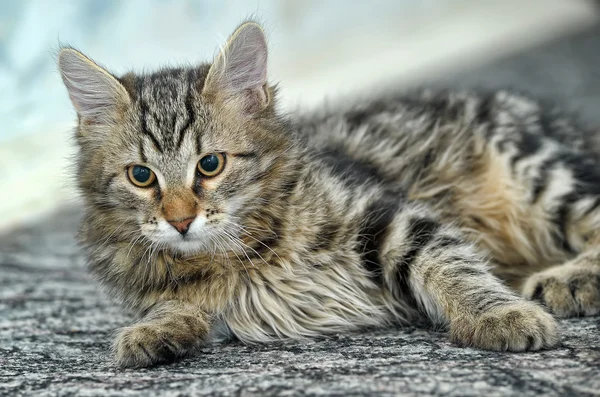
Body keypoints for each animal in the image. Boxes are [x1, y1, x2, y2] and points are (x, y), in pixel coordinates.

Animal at [58, 22, 600, 368]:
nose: (180, 220)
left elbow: (453, 267)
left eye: (210, 165)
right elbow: (173, 305)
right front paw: (155, 333)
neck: (242, 254)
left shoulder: (389, 215)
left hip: (536, 172)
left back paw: (568, 280)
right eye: (141, 176)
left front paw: (499, 315)